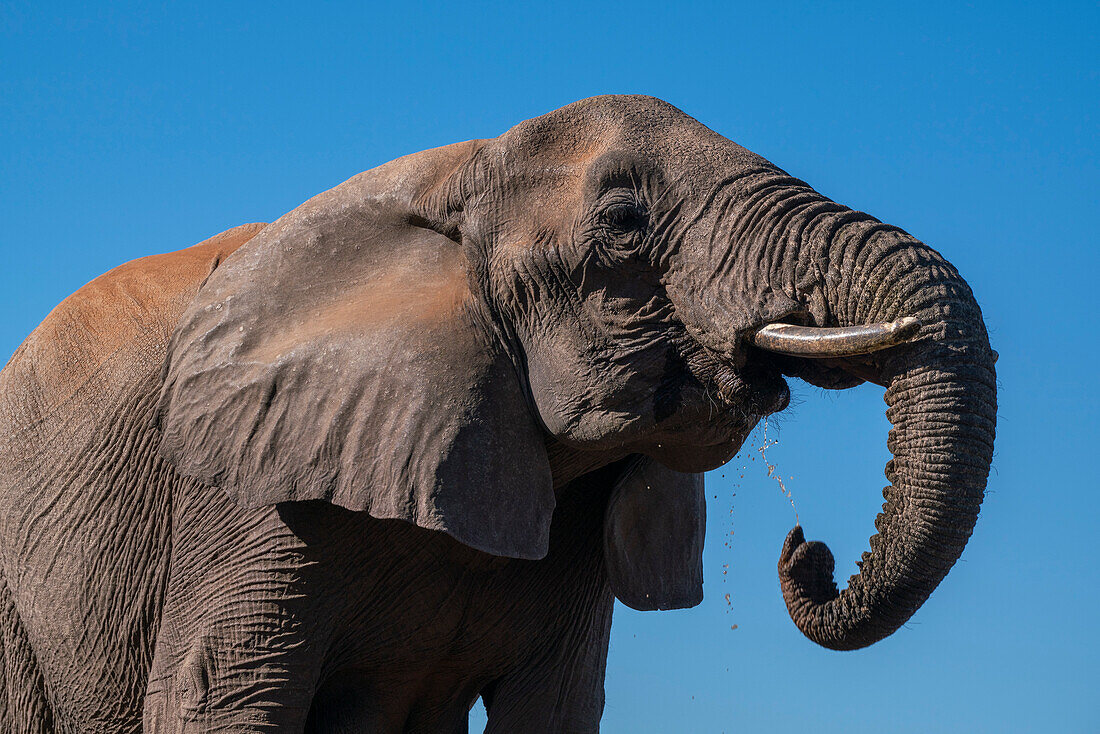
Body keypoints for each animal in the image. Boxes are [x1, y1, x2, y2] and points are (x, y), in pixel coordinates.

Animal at [0, 94, 998, 730]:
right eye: (624, 221)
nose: (805, 552)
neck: (456, 173)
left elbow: (552, 711)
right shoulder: (250, 492)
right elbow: (223, 700)